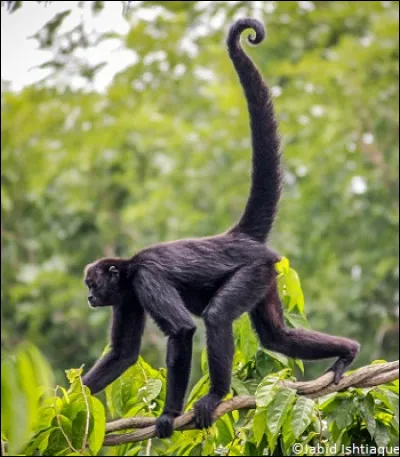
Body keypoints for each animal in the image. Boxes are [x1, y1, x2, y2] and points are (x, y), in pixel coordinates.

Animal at [80, 18, 360, 438]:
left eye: (92, 284)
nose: (89, 297)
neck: (128, 270)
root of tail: (236, 237)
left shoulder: (145, 279)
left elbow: (182, 331)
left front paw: (168, 414)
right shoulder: (128, 295)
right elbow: (123, 353)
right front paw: (61, 399)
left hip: (252, 270)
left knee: (217, 317)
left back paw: (215, 396)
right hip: (266, 276)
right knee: (278, 335)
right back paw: (348, 351)